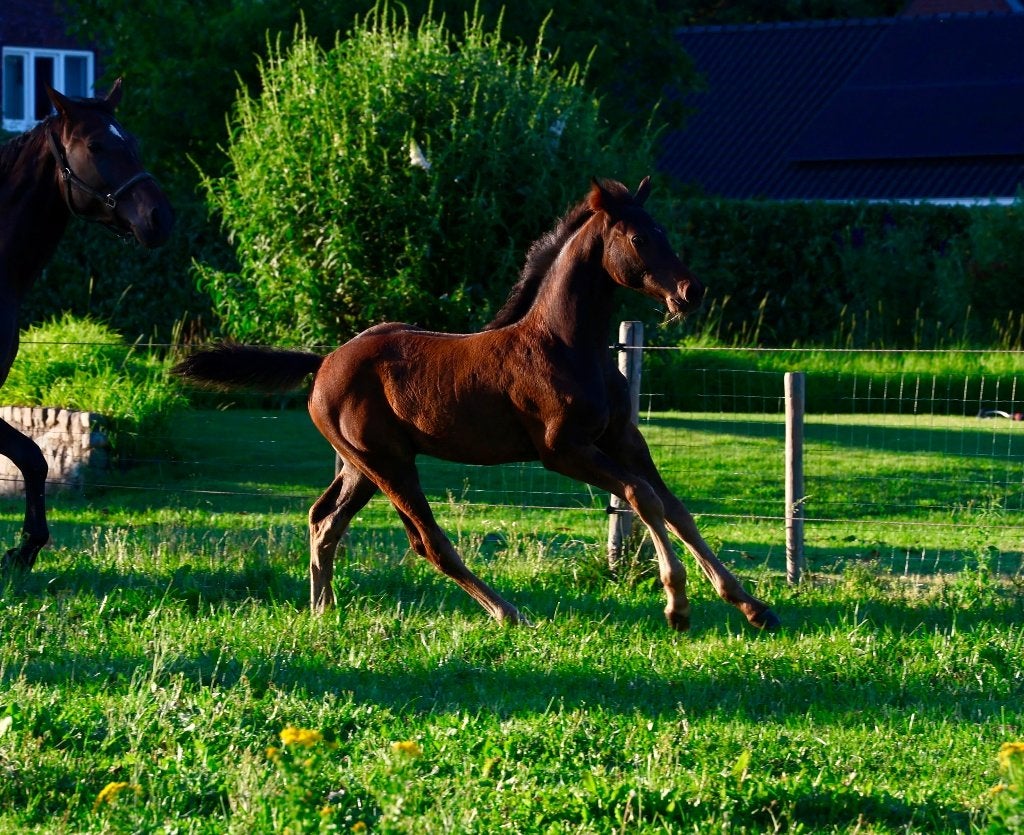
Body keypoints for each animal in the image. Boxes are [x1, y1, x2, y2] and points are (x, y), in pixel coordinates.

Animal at [1, 79, 174, 571]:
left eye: (133, 141)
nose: (161, 218)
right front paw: (25, 546)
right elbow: (33, 456)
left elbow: (34, 458)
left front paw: (25, 549)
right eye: (96, 145)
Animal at [174, 177, 780, 632]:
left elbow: (674, 506)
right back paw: (509, 611)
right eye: (636, 238)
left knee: (324, 522)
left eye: (664, 232)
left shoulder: (622, 439)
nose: (691, 292)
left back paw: (324, 611)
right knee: (427, 542)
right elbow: (641, 496)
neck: (566, 343)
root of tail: (324, 362)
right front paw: (677, 605)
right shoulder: (563, 450)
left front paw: (752, 606)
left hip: (359, 466)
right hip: (390, 463)